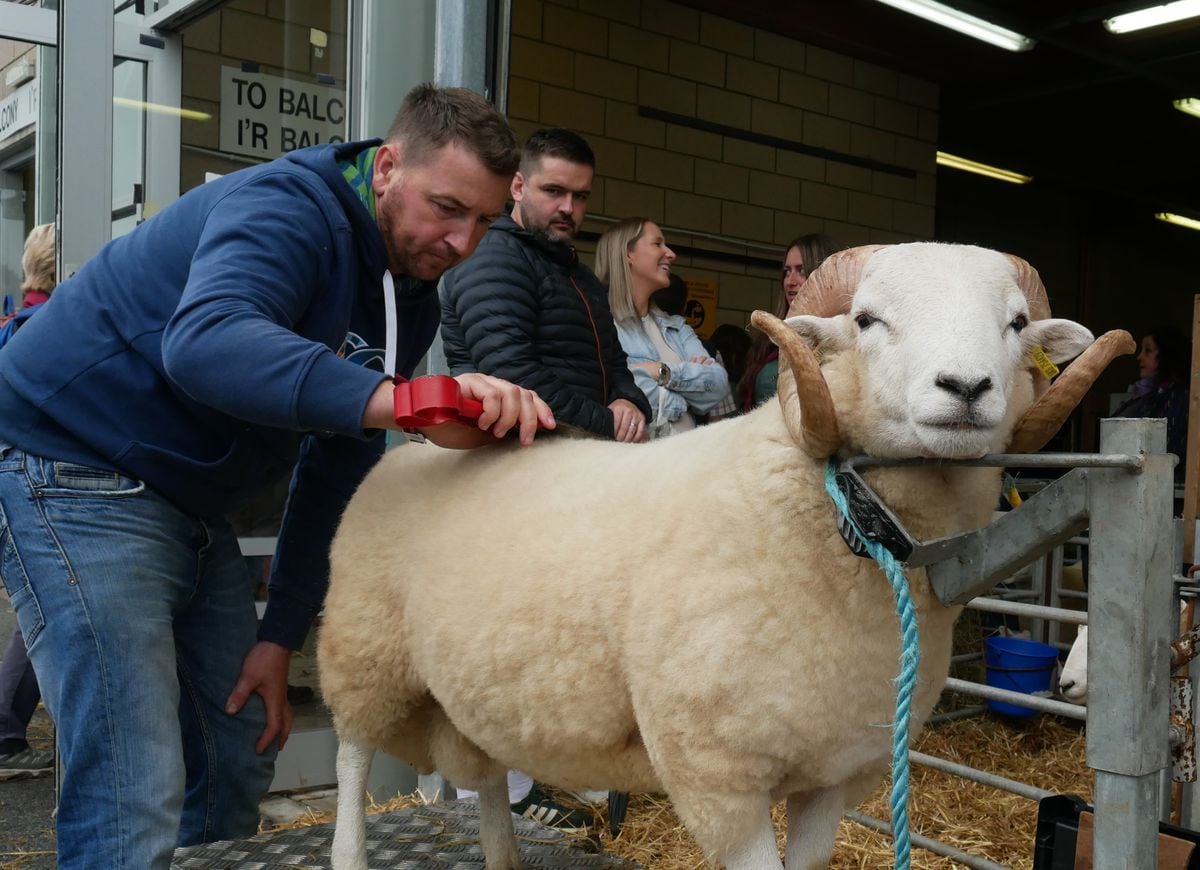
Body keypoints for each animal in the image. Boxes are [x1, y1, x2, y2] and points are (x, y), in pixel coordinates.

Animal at [314, 238, 1128, 868]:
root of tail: (410, 451)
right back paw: (351, 851)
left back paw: (502, 855)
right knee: (352, 758)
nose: (966, 387)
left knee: (482, 774)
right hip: (363, 653)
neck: (830, 519)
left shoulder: (833, 777)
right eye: (866, 320)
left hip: (469, 687)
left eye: (1016, 322)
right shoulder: (717, 779)